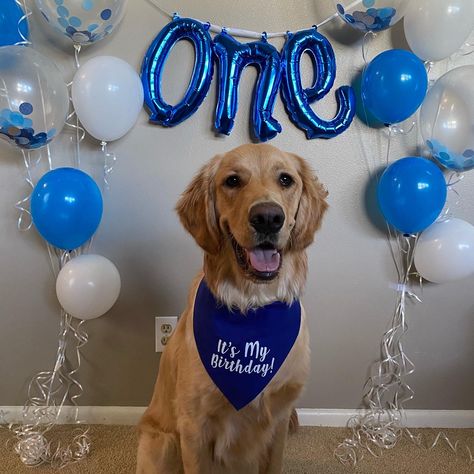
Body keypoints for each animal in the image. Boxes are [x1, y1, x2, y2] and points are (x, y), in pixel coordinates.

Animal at [136, 144, 326, 474]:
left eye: (285, 179)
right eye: (233, 181)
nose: (268, 217)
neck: (252, 307)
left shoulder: (279, 421)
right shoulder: (193, 426)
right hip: (162, 444)